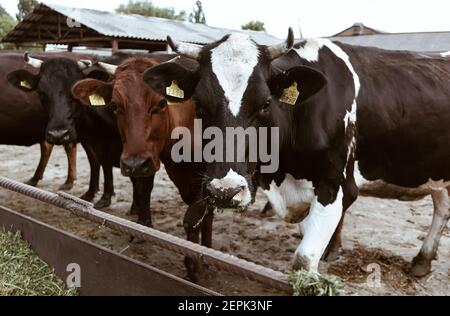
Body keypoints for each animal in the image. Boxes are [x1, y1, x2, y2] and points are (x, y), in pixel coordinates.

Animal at [72, 55, 213, 280]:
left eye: (162, 103)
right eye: (114, 105)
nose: (134, 164)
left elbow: (193, 219)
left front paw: (197, 267)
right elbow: (145, 190)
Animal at [143, 29, 450, 276]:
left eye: (266, 103)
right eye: (199, 104)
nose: (225, 191)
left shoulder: (338, 185)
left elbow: (303, 259)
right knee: (442, 205)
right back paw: (422, 261)